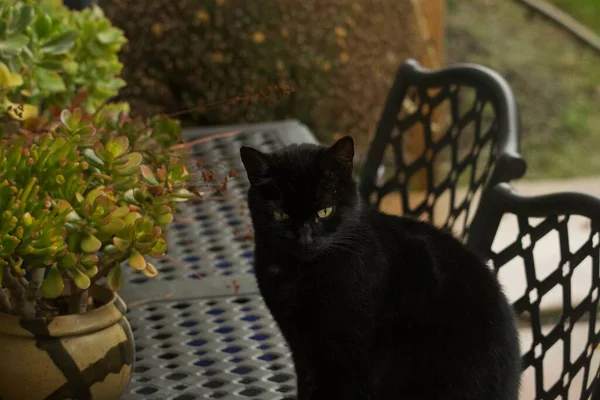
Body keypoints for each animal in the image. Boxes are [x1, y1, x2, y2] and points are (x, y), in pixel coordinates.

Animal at [239, 136, 520, 398]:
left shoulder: (351, 357)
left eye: (325, 211)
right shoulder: (302, 349)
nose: (305, 239)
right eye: (280, 215)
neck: (303, 277)